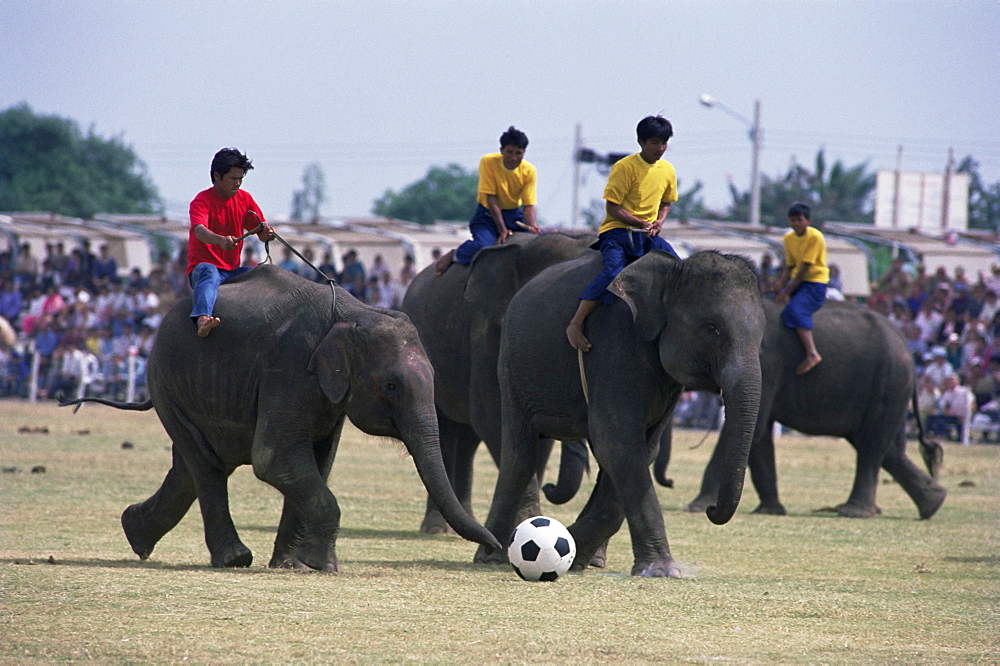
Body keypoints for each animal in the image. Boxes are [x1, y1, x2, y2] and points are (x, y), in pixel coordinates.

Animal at [62, 264, 500, 572]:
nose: (499, 545)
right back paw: (233, 559)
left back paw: (134, 533)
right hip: (166, 381)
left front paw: (294, 565)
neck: (354, 312)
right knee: (205, 467)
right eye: (390, 386)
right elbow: (275, 458)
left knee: (190, 465)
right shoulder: (289, 368)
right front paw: (325, 567)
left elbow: (316, 462)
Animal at [402, 231, 596, 532]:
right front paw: (528, 521)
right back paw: (437, 528)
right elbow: (494, 420)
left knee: (467, 439)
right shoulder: (487, 334)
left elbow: (536, 434)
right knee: (445, 429)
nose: (551, 488)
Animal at [476, 249, 764, 576]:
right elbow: (618, 444)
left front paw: (575, 549)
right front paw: (662, 571)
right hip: (513, 370)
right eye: (712, 327)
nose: (711, 509)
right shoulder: (614, 347)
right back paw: (490, 556)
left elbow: (639, 450)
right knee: (520, 455)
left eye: (762, 334)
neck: (674, 269)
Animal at [664, 296, 944, 520]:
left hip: (888, 383)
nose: (670, 483)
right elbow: (760, 434)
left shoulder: (767, 364)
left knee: (871, 444)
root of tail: (908, 348)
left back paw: (854, 512)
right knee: (888, 448)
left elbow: (753, 428)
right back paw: (934, 503)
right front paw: (770, 511)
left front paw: (697, 507)